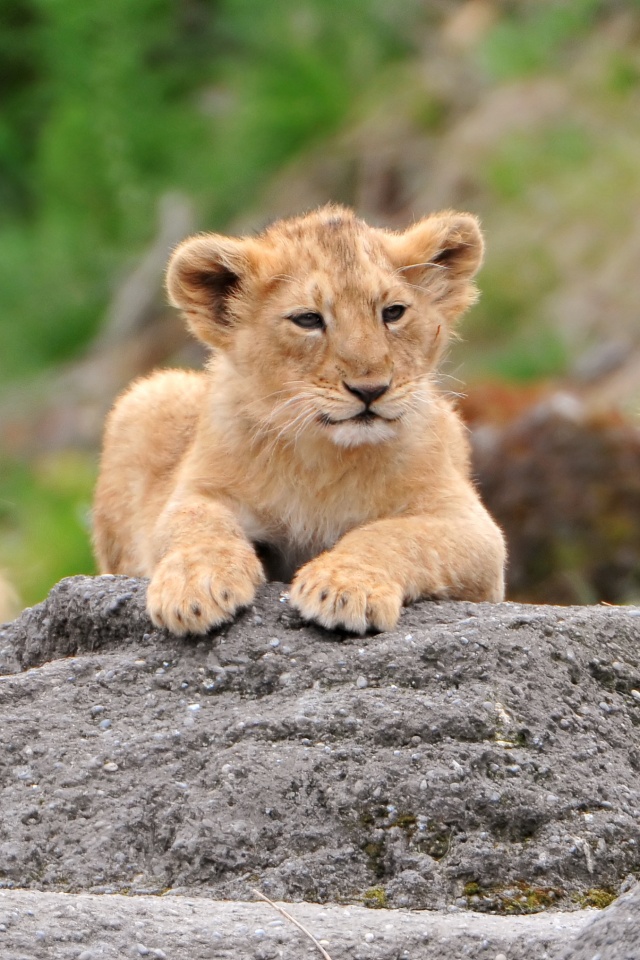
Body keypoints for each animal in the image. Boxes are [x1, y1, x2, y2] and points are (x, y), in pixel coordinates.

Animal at [93, 205, 506, 635]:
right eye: (308, 320)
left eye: (393, 312)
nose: (370, 389)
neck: (323, 458)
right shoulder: (198, 490)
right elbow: (196, 524)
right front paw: (195, 587)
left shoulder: (473, 531)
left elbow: (393, 535)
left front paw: (343, 587)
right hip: (148, 394)